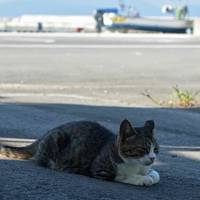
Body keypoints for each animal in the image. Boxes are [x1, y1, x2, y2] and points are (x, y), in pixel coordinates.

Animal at [0, 119, 160, 186]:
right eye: (143, 149)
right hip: (57, 138)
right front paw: (142, 179)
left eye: (156, 149)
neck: (136, 165)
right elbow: (122, 175)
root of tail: (44, 135)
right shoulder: (100, 170)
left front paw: (151, 174)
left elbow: (154, 173)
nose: (152, 158)